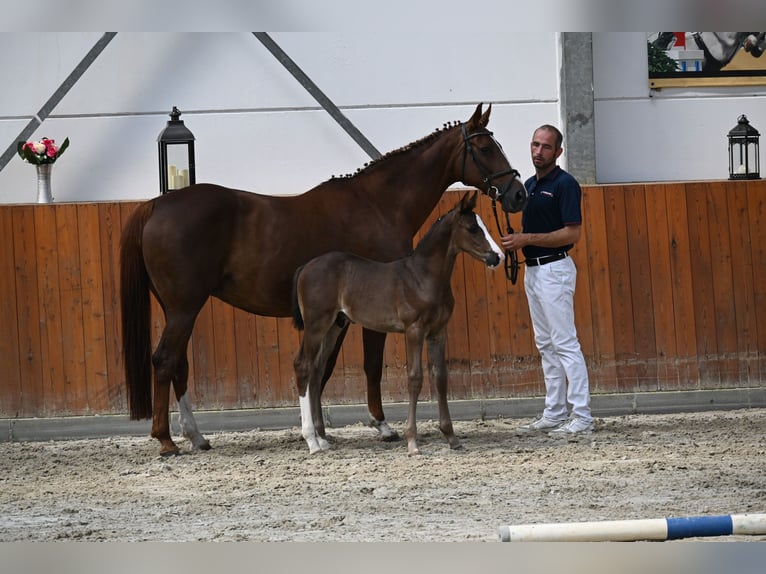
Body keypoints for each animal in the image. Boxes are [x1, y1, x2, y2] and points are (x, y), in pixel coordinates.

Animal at [292, 191, 504, 456]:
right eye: (473, 228)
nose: (497, 257)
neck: (423, 277)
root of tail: (305, 267)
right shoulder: (414, 330)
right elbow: (415, 378)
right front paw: (412, 442)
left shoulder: (438, 332)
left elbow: (440, 378)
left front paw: (451, 438)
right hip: (316, 325)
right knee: (303, 366)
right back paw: (311, 441)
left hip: (334, 326)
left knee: (317, 369)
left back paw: (322, 438)